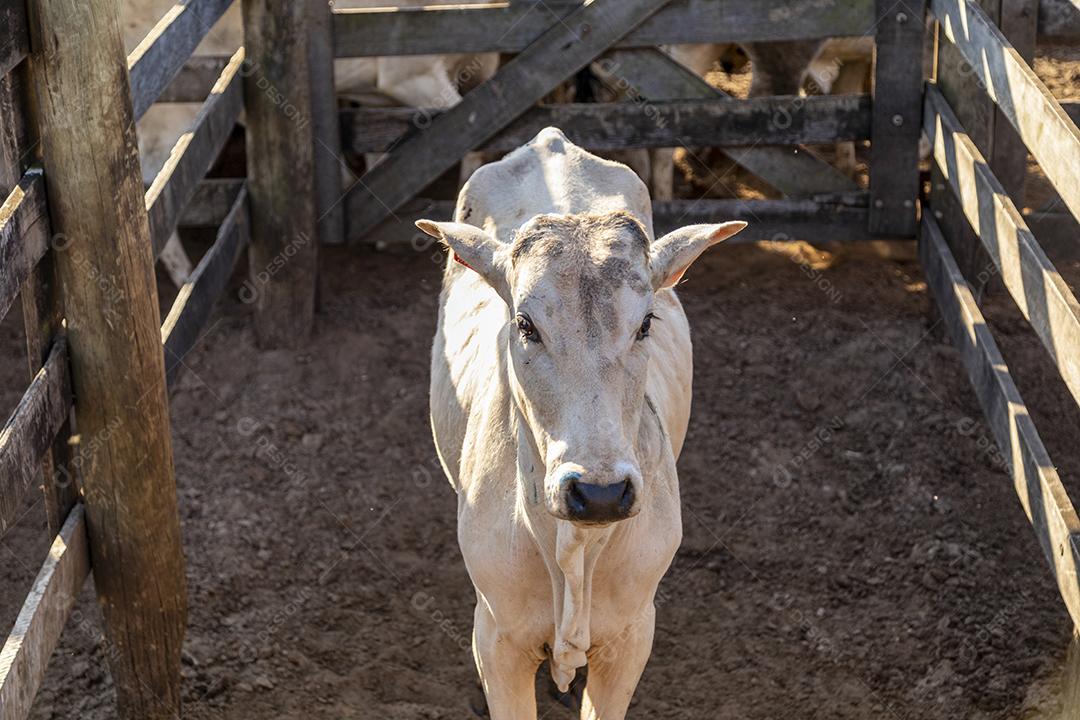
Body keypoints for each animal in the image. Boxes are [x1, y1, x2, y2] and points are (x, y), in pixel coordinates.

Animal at [419, 127, 745, 719]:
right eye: (525, 325)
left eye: (646, 323)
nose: (599, 493)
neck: (574, 552)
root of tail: (550, 140)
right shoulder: (496, 640)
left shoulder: (632, 636)